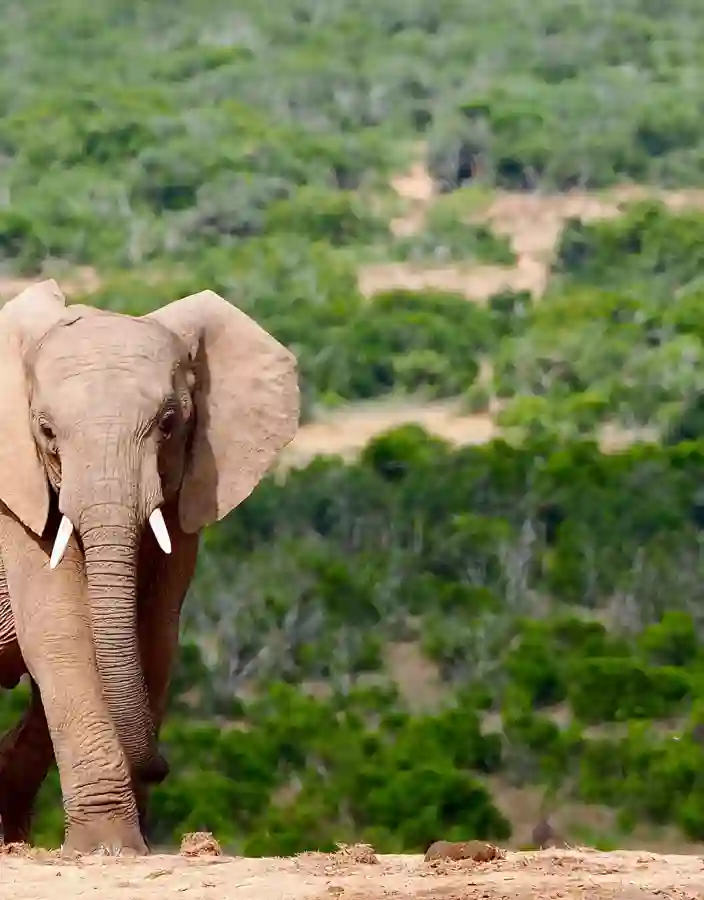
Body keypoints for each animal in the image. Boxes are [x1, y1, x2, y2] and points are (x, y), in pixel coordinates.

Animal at [0, 280, 299, 854]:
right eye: (45, 430)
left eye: (168, 423)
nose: (160, 766)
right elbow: (60, 629)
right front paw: (105, 848)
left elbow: (153, 632)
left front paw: (124, 845)